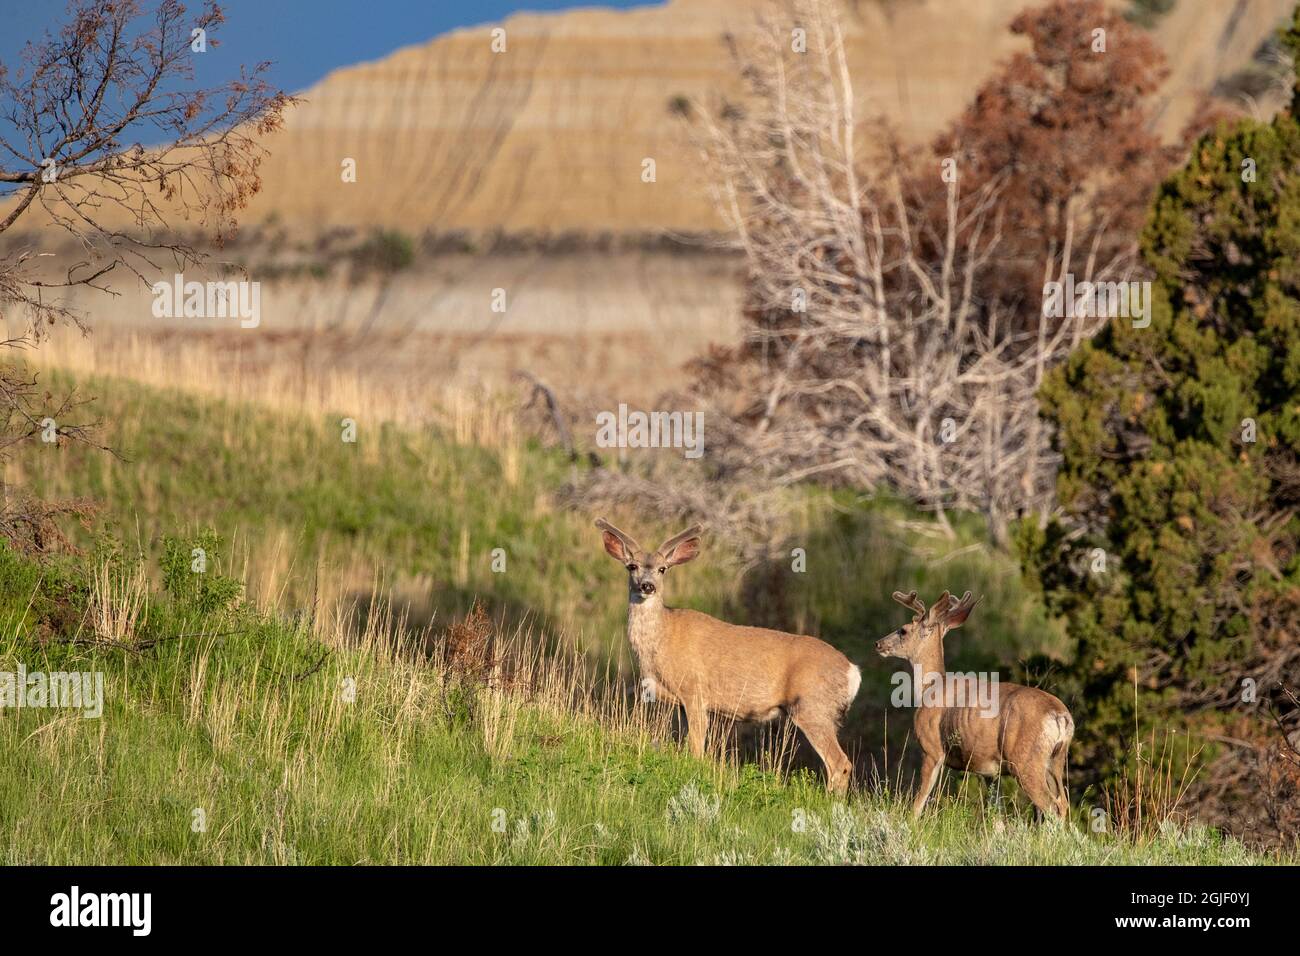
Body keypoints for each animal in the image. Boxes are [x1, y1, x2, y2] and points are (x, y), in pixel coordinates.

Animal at [595, 520, 863, 796]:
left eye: (662, 569)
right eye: (632, 566)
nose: (647, 586)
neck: (661, 641)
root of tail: (852, 671)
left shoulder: (694, 690)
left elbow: (697, 749)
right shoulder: (681, 702)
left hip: (813, 706)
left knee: (840, 762)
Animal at [873, 590, 1076, 822]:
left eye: (903, 630)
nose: (878, 644)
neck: (930, 686)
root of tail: (1061, 717)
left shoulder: (932, 748)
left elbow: (919, 801)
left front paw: (910, 824)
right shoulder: (989, 770)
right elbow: (996, 815)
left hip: (1026, 760)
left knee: (1052, 806)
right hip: (1056, 760)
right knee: (1063, 803)